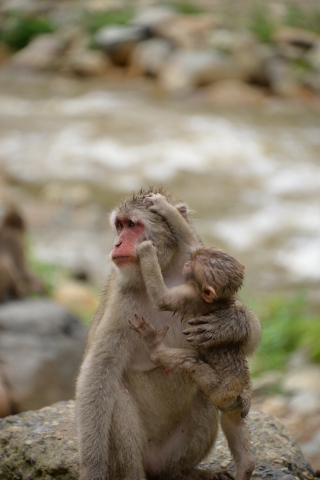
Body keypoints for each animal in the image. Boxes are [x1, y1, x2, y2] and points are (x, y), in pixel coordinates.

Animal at [76, 189, 262, 480]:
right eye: (119, 225)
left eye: (132, 225)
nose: (117, 244)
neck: (168, 271)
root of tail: (155, 466)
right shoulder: (121, 301)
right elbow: (99, 372)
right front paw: (93, 467)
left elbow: (251, 334)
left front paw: (229, 324)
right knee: (116, 399)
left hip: (173, 452)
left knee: (206, 398)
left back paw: (190, 473)